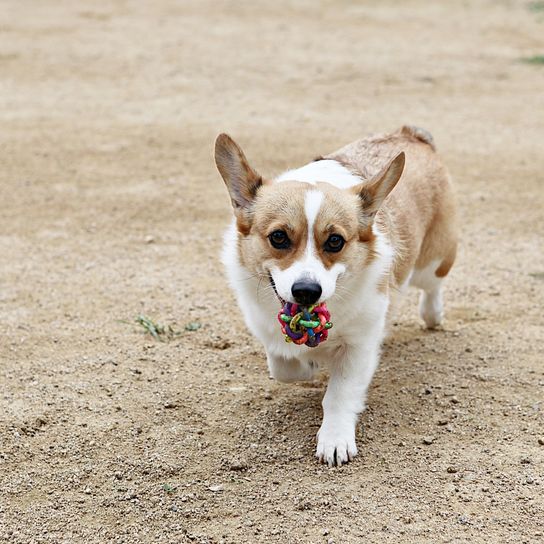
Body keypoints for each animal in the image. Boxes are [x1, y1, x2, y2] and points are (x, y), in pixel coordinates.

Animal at [215, 126, 456, 468]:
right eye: (278, 237)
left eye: (335, 241)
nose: (306, 291)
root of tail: (411, 134)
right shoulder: (268, 331)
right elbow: (283, 366)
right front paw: (307, 365)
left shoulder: (359, 345)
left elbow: (340, 395)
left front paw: (335, 439)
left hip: (431, 263)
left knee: (434, 285)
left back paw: (433, 315)